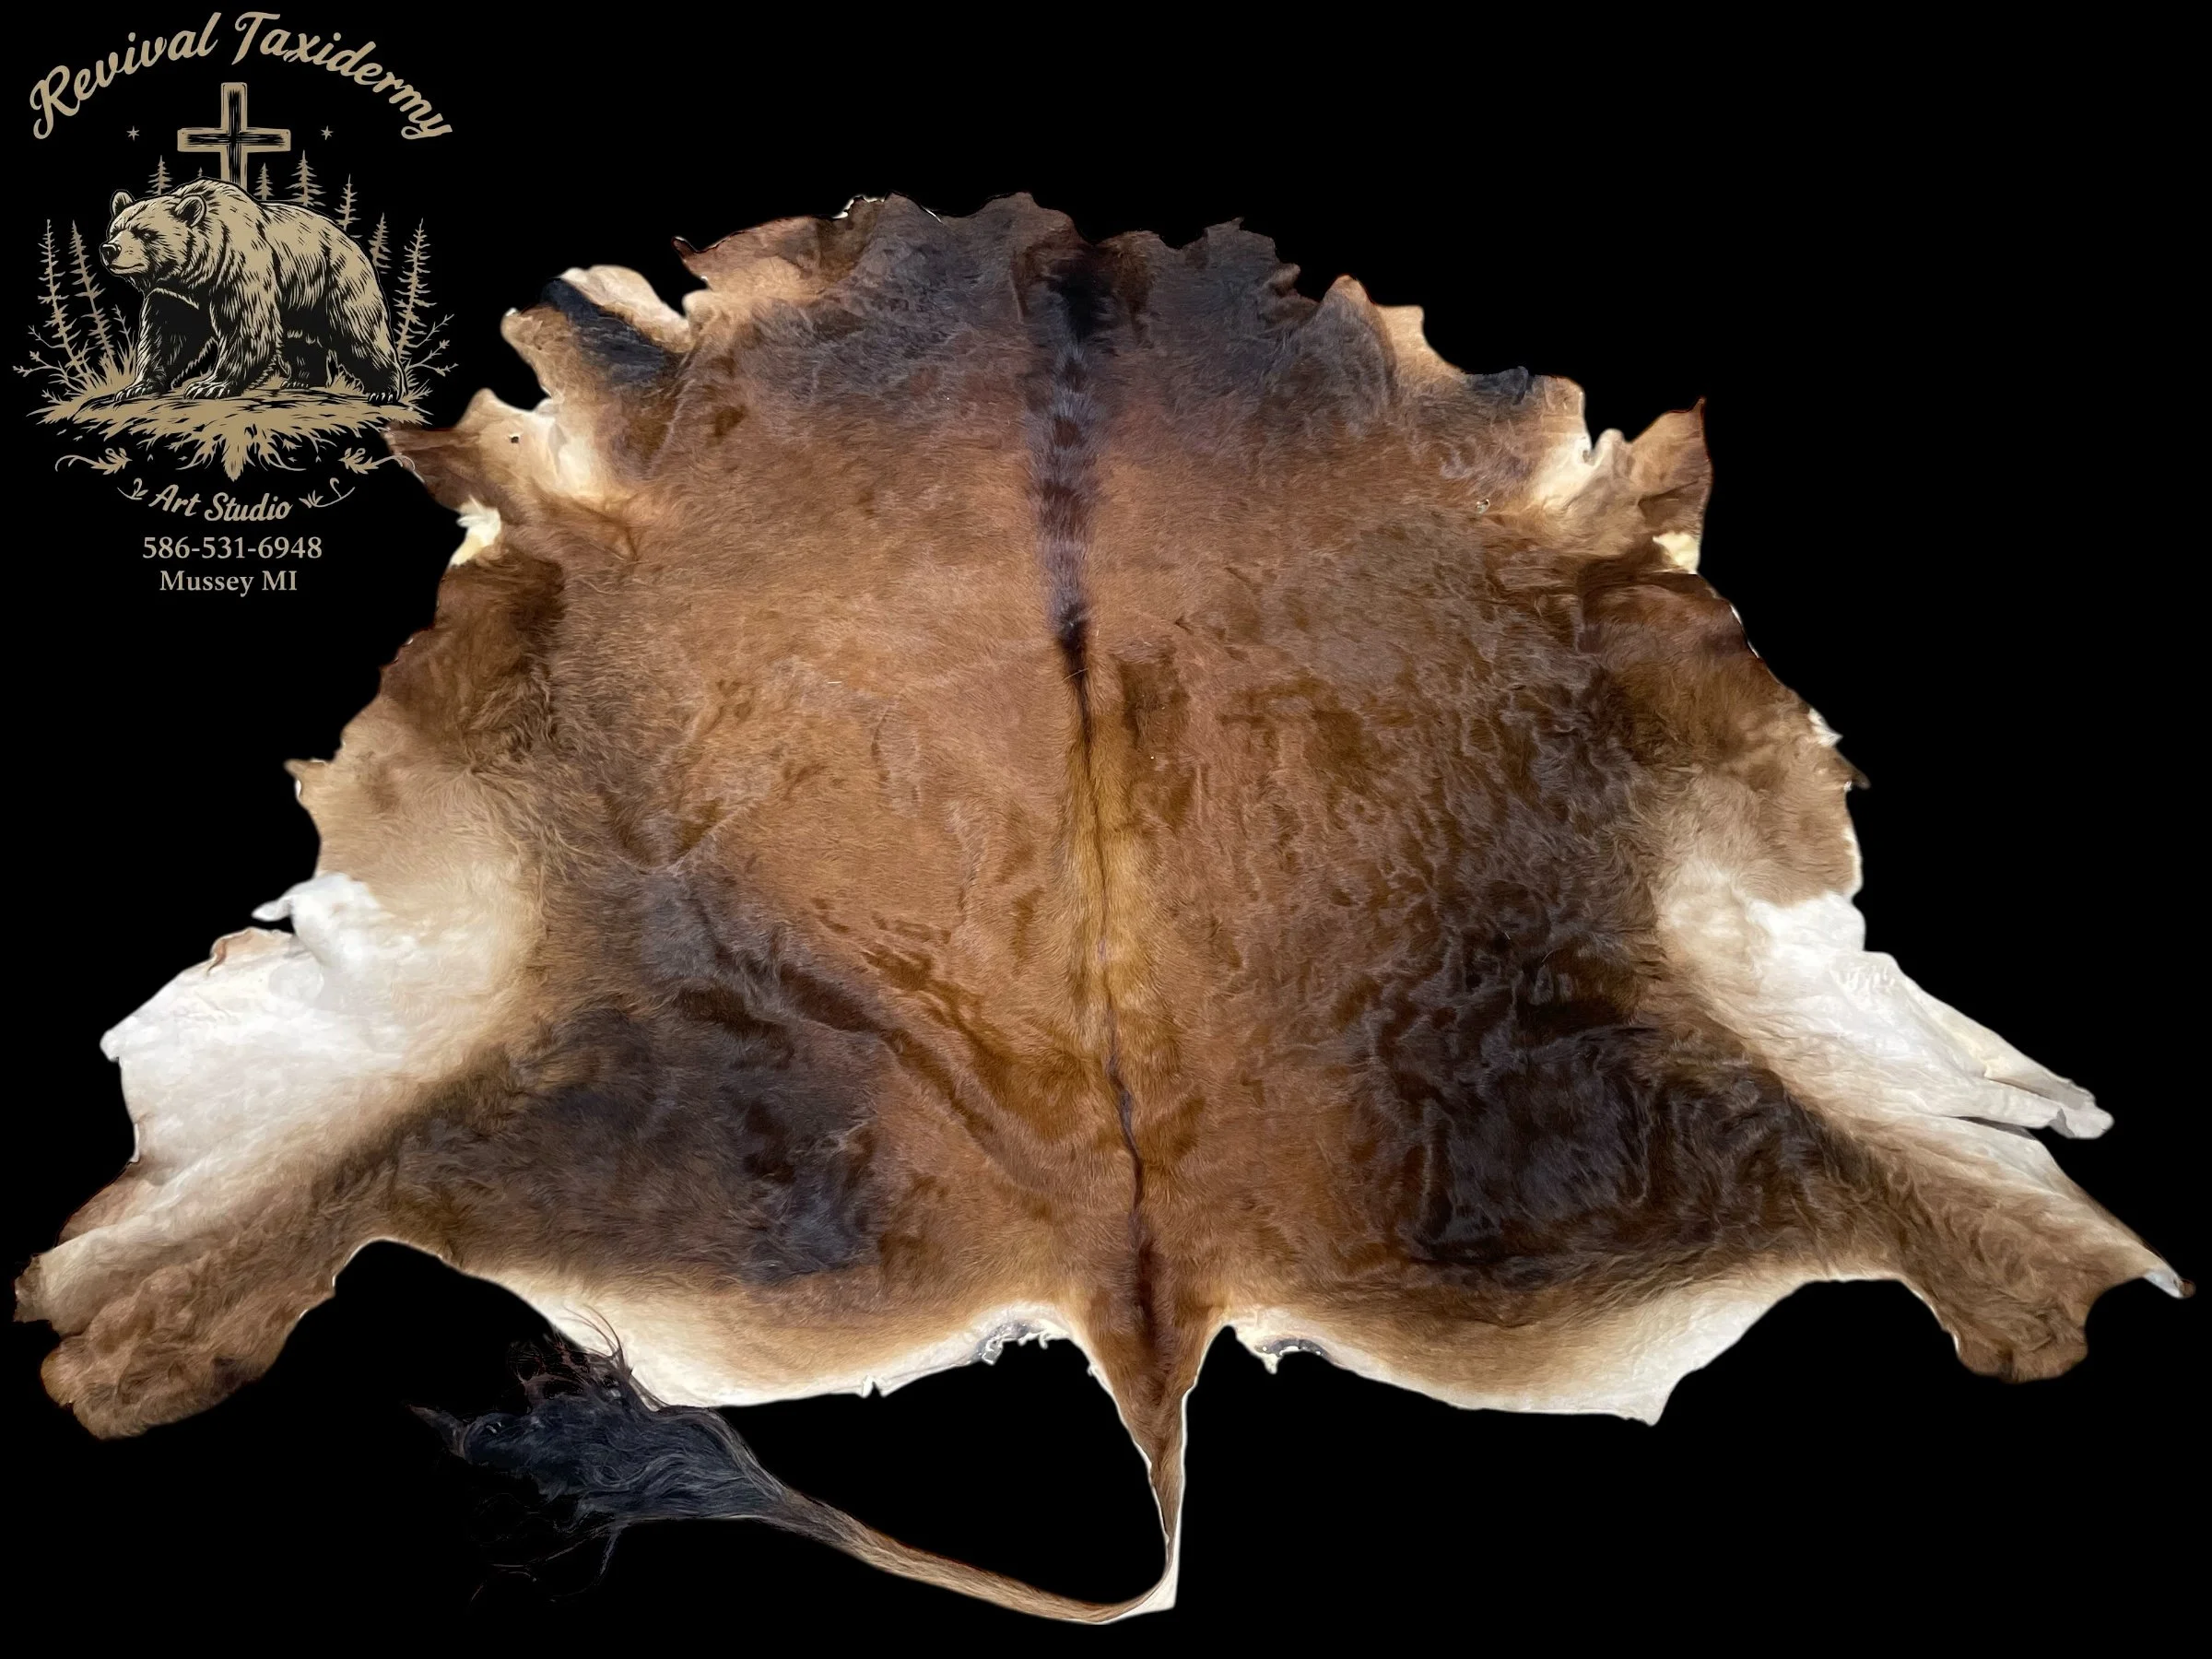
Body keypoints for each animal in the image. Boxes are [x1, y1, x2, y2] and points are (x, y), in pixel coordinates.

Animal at [93, 179, 403, 405]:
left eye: (145, 233)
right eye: (115, 229)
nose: (110, 249)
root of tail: (353, 243)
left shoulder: (239, 269)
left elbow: (247, 327)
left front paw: (209, 385)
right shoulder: (174, 295)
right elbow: (166, 336)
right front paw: (137, 386)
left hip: (336, 281)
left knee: (360, 333)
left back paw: (384, 389)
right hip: (301, 302)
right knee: (300, 339)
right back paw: (302, 379)